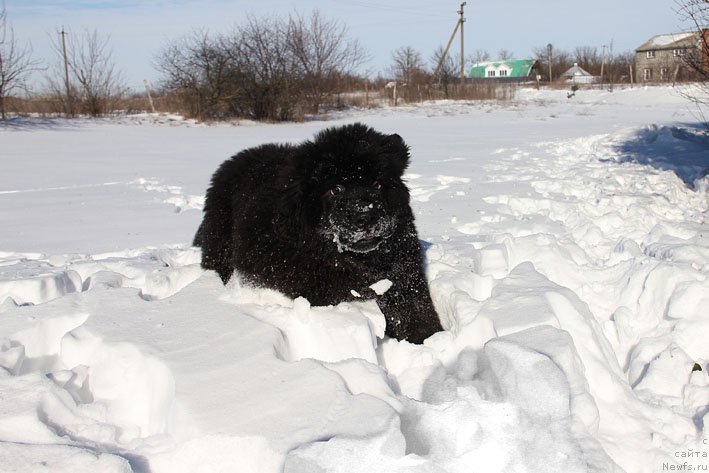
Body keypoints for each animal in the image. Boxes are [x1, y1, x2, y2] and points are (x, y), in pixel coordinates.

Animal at [191, 121, 440, 342]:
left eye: (378, 184)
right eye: (335, 189)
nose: (365, 217)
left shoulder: (405, 278)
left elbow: (416, 314)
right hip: (219, 243)